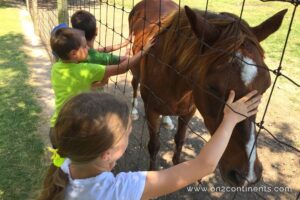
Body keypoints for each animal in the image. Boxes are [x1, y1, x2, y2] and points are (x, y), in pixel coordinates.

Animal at [128, 2, 286, 186]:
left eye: (266, 85)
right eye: (213, 87)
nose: (247, 175)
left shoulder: (188, 112)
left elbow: (180, 139)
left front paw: (178, 165)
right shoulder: (151, 110)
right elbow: (154, 145)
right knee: (134, 84)